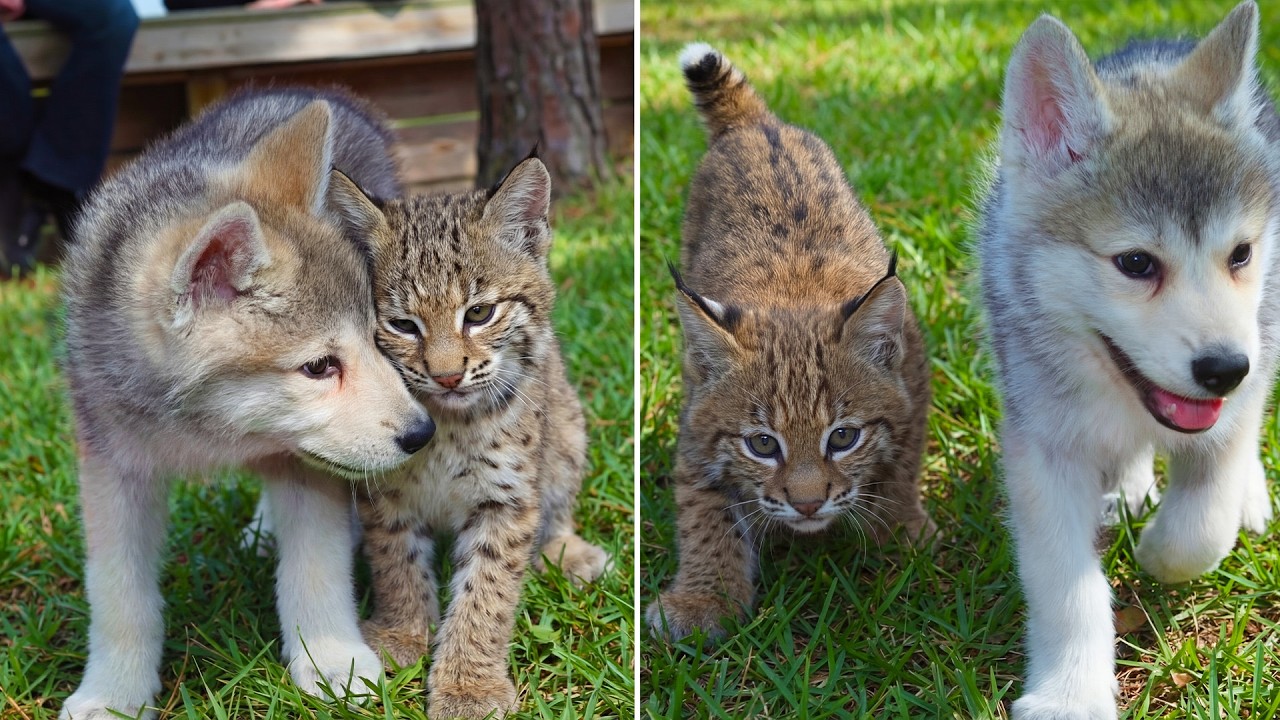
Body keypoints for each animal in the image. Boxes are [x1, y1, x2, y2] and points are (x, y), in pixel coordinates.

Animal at [59, 89, 435, 720]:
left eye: (376, 340)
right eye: (319, 366)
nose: (422, 434)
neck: (208, 431)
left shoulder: (305, 467)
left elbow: (315, 570)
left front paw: (331, 661)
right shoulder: (112, 470)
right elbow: (119, 596)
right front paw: (113, 694)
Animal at [977, 2, 1280, 717]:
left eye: (1240, 254)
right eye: (1136, 263)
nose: (1224, 369)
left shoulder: (1247, 374)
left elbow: (1202, 524)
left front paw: (1161, 553)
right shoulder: (1044, 447)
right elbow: (1065, 587)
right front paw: (1071, 694)